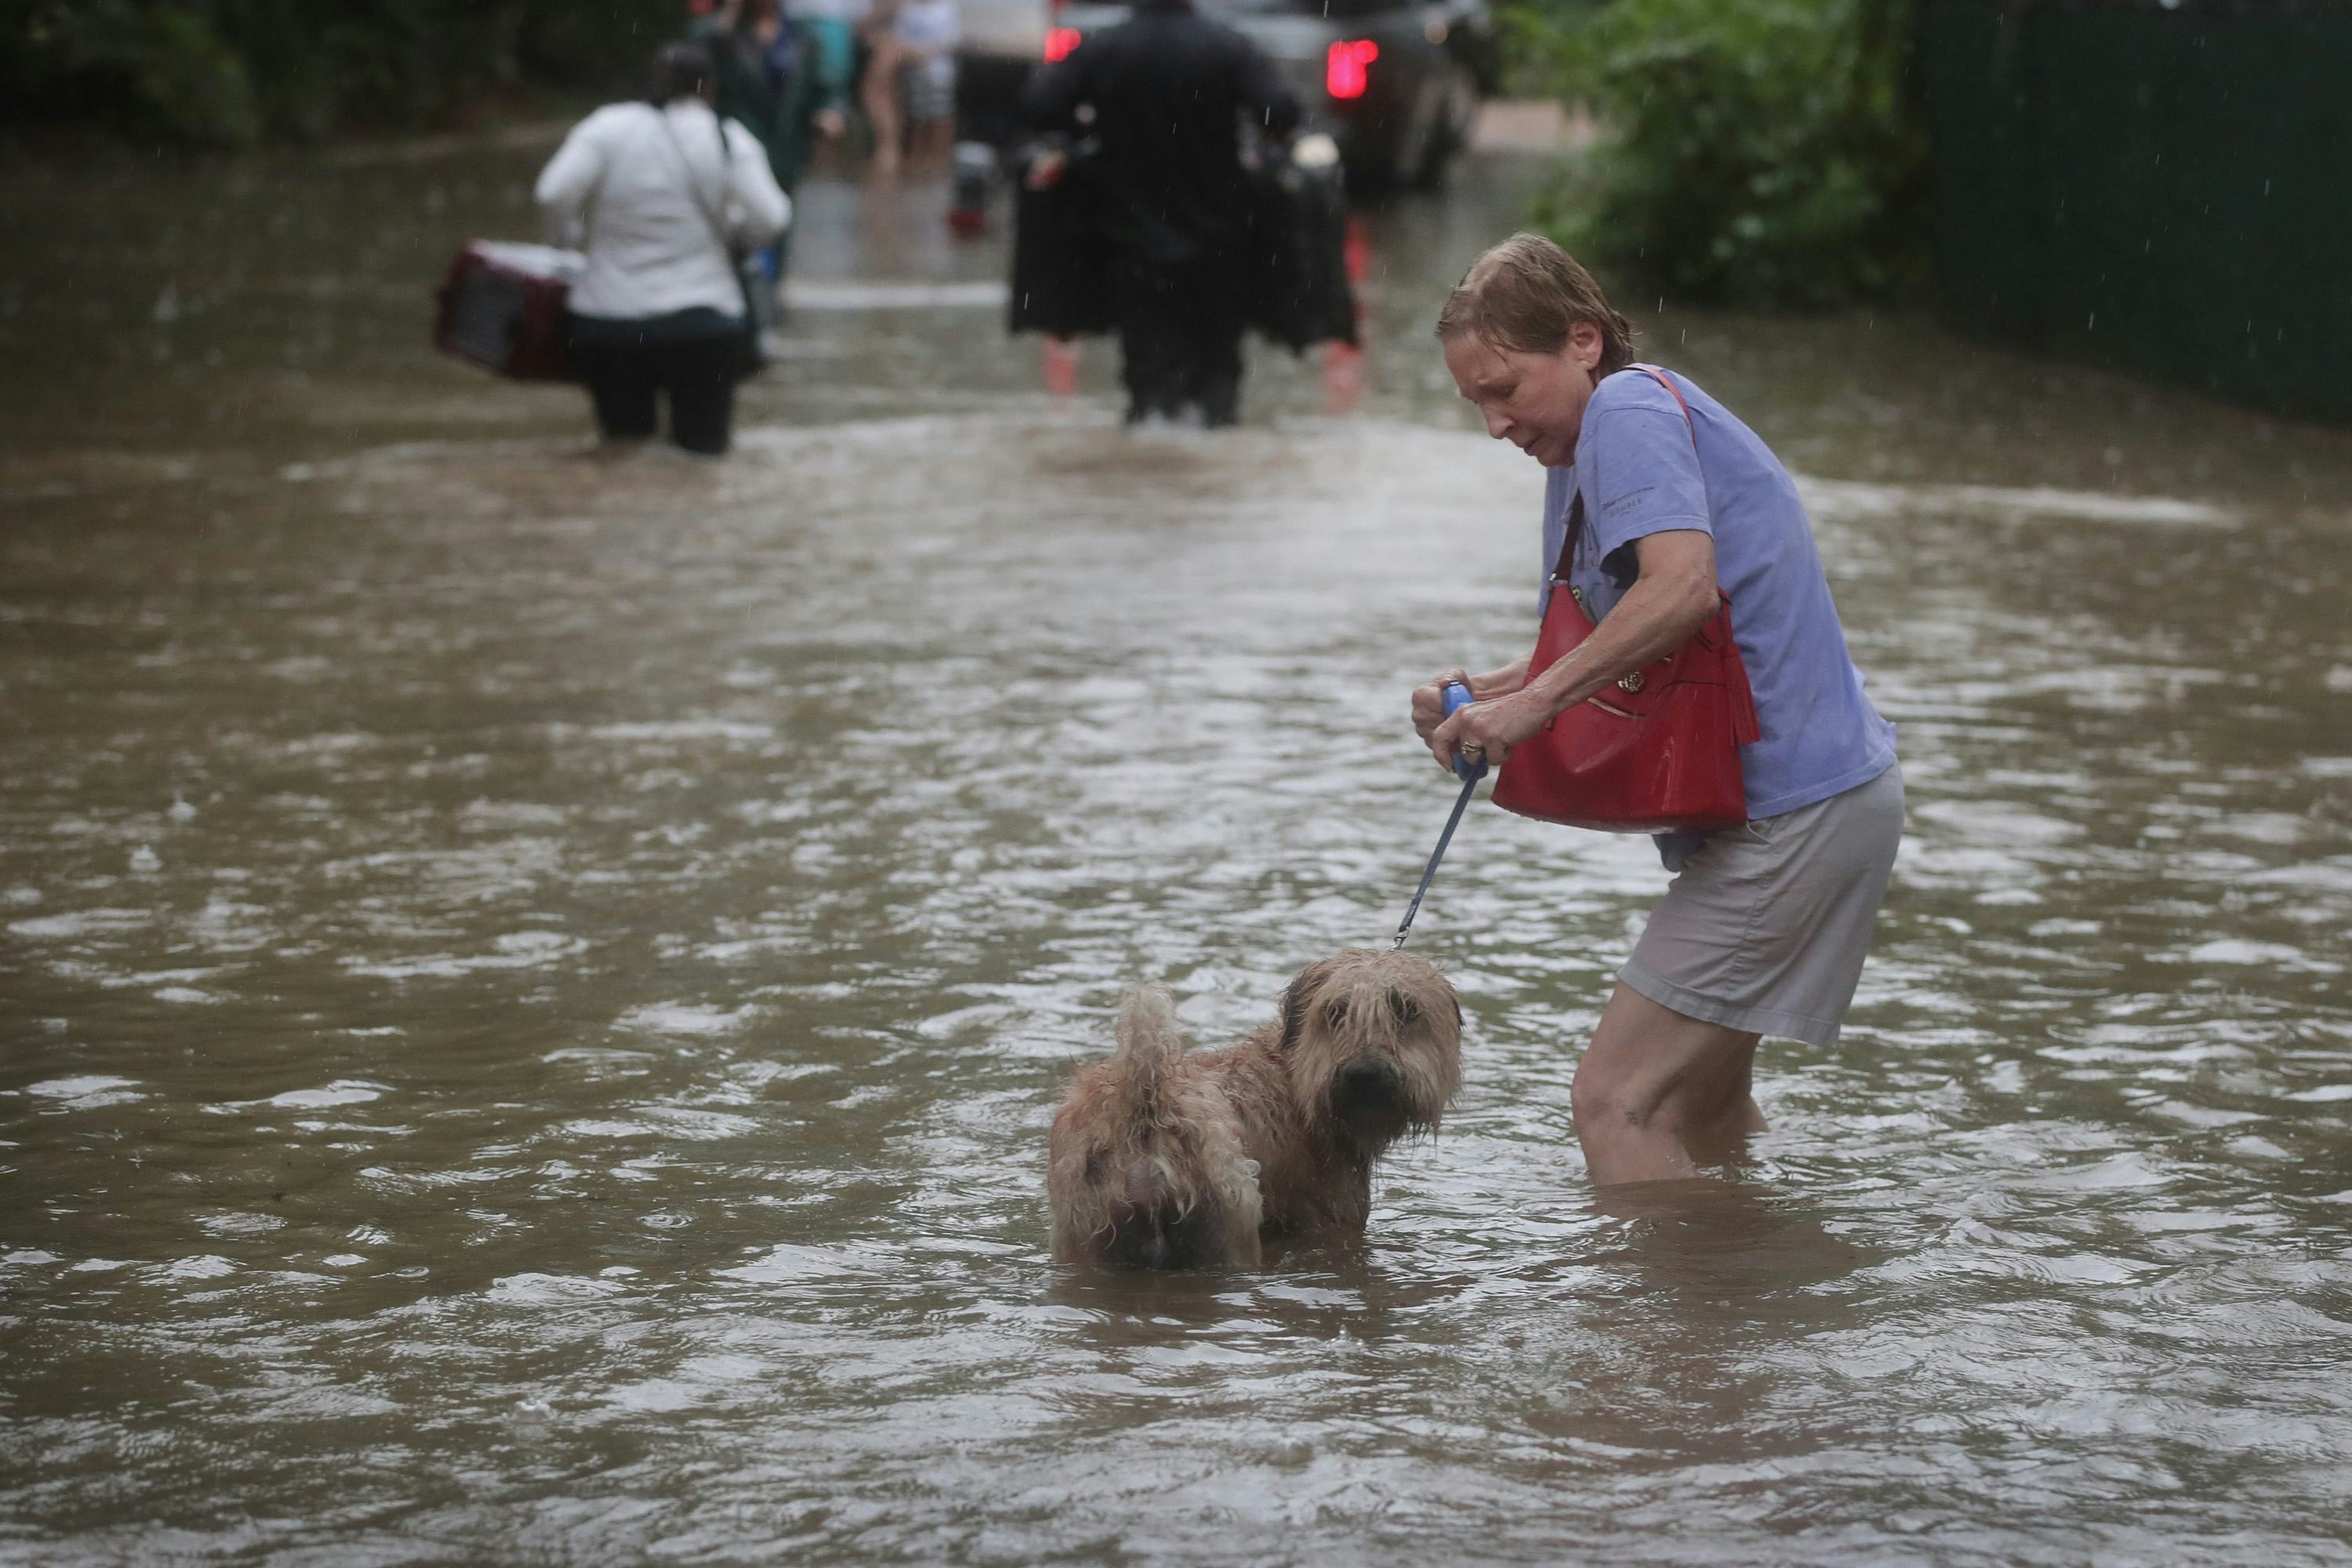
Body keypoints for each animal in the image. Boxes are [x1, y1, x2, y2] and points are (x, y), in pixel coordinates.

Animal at [1044, 949, 1449, 1269]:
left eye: (1406, 1009)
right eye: (1336, 1011)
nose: (1365, 1075)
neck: (1292, 1077)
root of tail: (1146, 1107)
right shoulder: (1336, 1220)